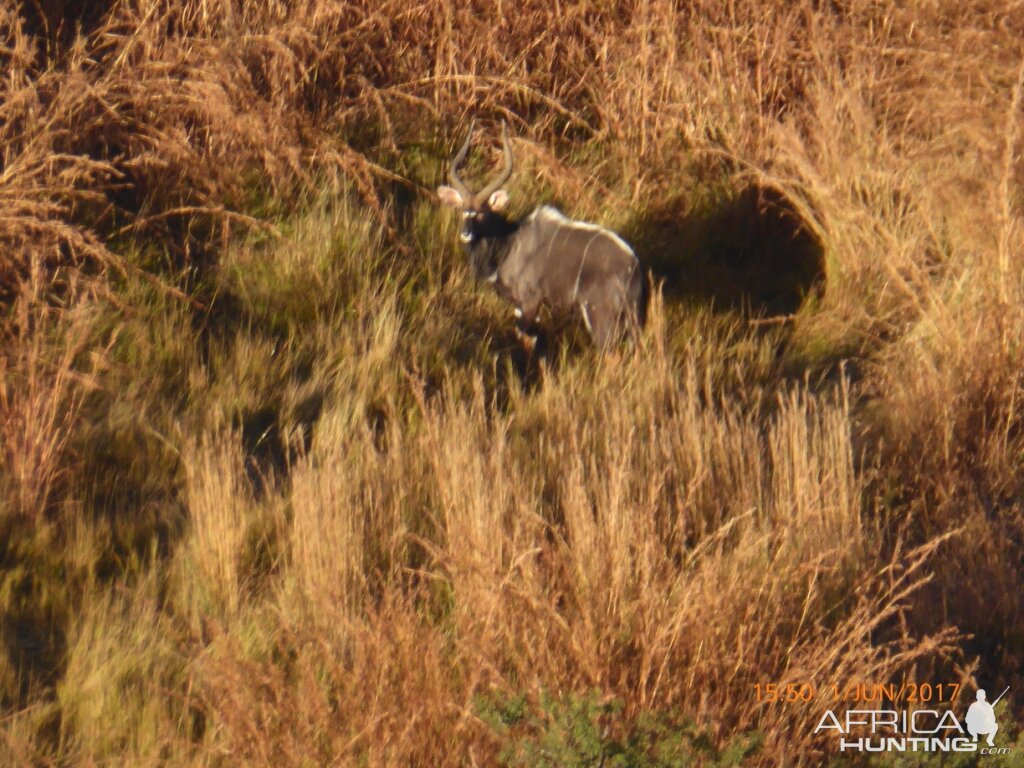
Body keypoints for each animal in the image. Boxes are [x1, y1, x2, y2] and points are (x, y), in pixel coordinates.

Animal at [436, 120, 643, 348]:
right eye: (462, 211)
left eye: (482, 213)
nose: (466, 233)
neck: (509, 243)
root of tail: (632, 264)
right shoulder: (520, 305)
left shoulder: (530, 301)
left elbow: (528, 340)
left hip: (601, 315)